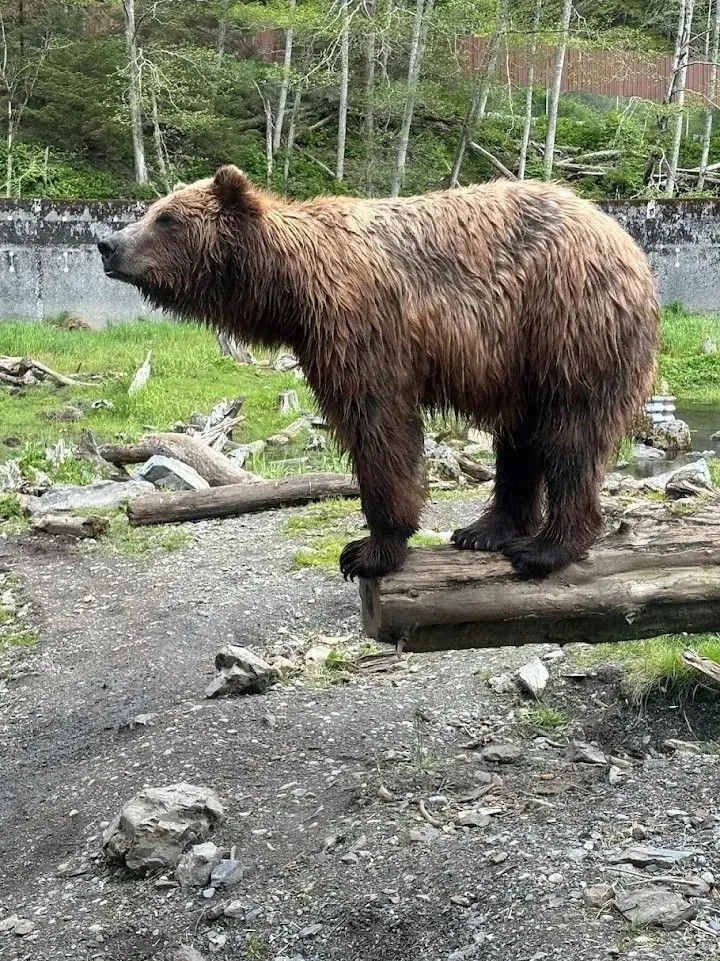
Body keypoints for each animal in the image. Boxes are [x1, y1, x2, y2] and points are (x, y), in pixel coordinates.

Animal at [98, 166, 659, 581]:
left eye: (166, 218)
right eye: (151, 211)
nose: (107, 244)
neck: (291, 289)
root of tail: (625, 240)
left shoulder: (362, 327)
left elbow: (378, 425)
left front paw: (367, 550)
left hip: (568, 324)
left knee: (571, 435)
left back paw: (546, 548)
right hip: (521, 357)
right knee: (519, 437)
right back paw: (485, 529)